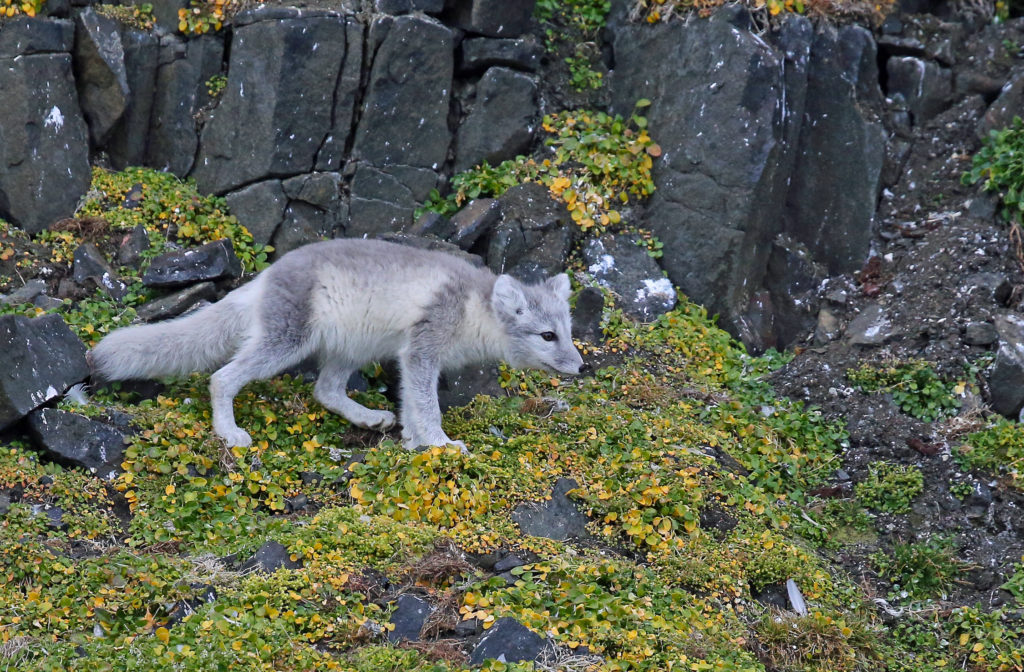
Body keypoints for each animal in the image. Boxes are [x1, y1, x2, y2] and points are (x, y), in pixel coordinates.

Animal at [88, 237, 585, 450]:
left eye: (569, 331)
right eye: (548, 336)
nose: (582, 368)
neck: (473, 307)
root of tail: (265, 277)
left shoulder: (409, 356)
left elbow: (411, 404)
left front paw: (412, 439)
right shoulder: (422, 349)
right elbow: (427, 404)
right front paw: (441, 443)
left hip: (354, 346)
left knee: (324, 390)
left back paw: (369, 418)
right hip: (286, 342)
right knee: (221, 378)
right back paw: (230, 433)